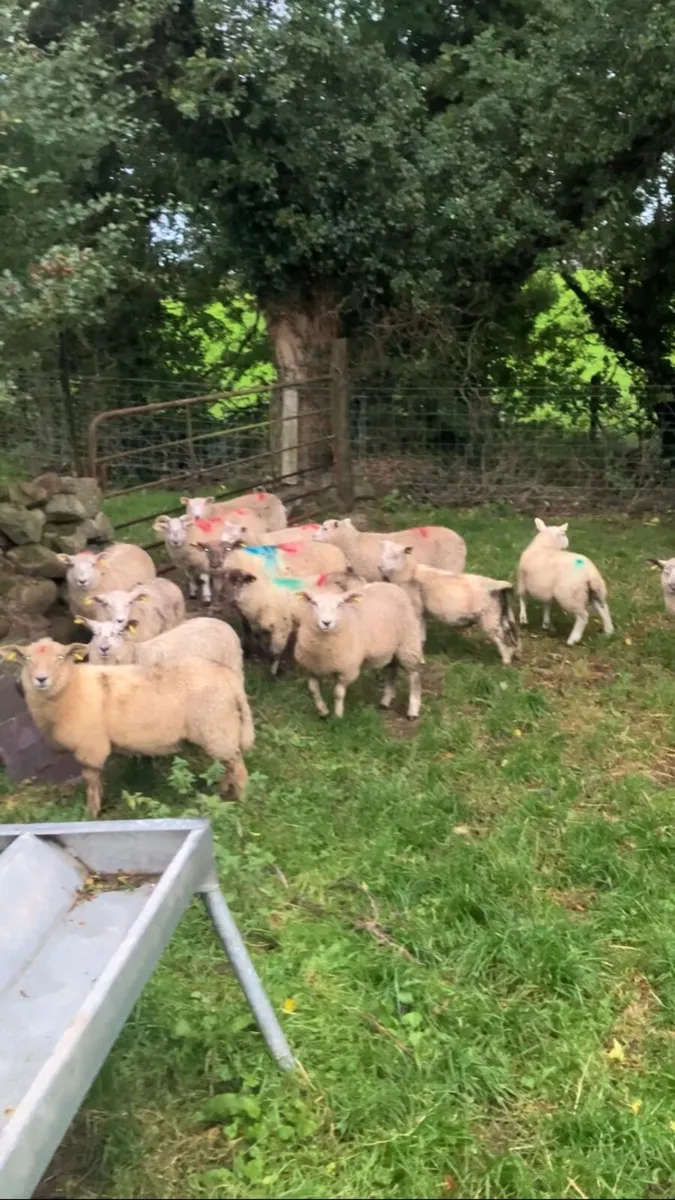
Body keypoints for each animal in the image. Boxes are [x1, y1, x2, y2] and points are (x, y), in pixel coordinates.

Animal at [0, 638, 255, 816]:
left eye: (61, 657)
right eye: (27, 659)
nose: (41, 679)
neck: (71, 687)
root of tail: (229, 677)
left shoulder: (90, 746)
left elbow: (91, 781)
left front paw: (91, 813)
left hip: (217, 726)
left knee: (237, 767)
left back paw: (242, 801)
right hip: (219, 730)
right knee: (228, 763)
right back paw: (223, 791)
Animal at [294, 581, 423, 720]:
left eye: (340, 604)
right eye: (314, 603)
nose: (326, 623)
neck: (323, 649)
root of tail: (390, 585)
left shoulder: (346, 670)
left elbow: (338, 693)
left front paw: (338, 716)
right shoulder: (310, 668)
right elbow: (313, 690)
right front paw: (323, 712)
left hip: (408, 645)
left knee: (414, 676)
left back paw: (413, 711)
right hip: (390, 650)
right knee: (391, 670)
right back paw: (385, 701)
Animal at [314, 517, 466, 581]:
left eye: (325, 528)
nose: (313, 535)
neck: (353, 543)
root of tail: (461, 540)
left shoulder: (373, 575)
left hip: (450, 562)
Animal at [379, 540, 520, 665]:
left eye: (396, 555)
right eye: (383, 553)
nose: (380, 567)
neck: (410, 572)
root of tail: (501, 585)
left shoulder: (417, 608)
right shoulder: (423, 611)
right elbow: (422, 635)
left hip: (489, 617)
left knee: (501, 638)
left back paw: (506, 662)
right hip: (500, 614)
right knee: (509, 634)